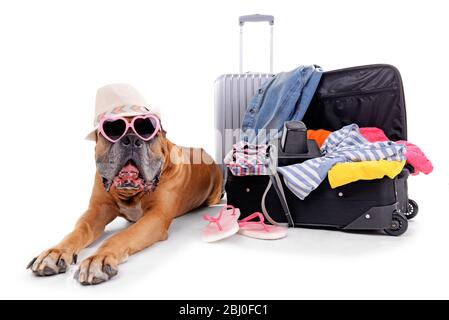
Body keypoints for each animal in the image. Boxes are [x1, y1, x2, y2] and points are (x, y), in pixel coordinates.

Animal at [26, 116, 222, 286]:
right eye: (113, 130)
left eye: (147, 130)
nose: (132, 139)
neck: (131, 193)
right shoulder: (96, 211)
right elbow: (79, 230)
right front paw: (55, 252)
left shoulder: (155, 217)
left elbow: (120, 236)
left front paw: (98, 258)